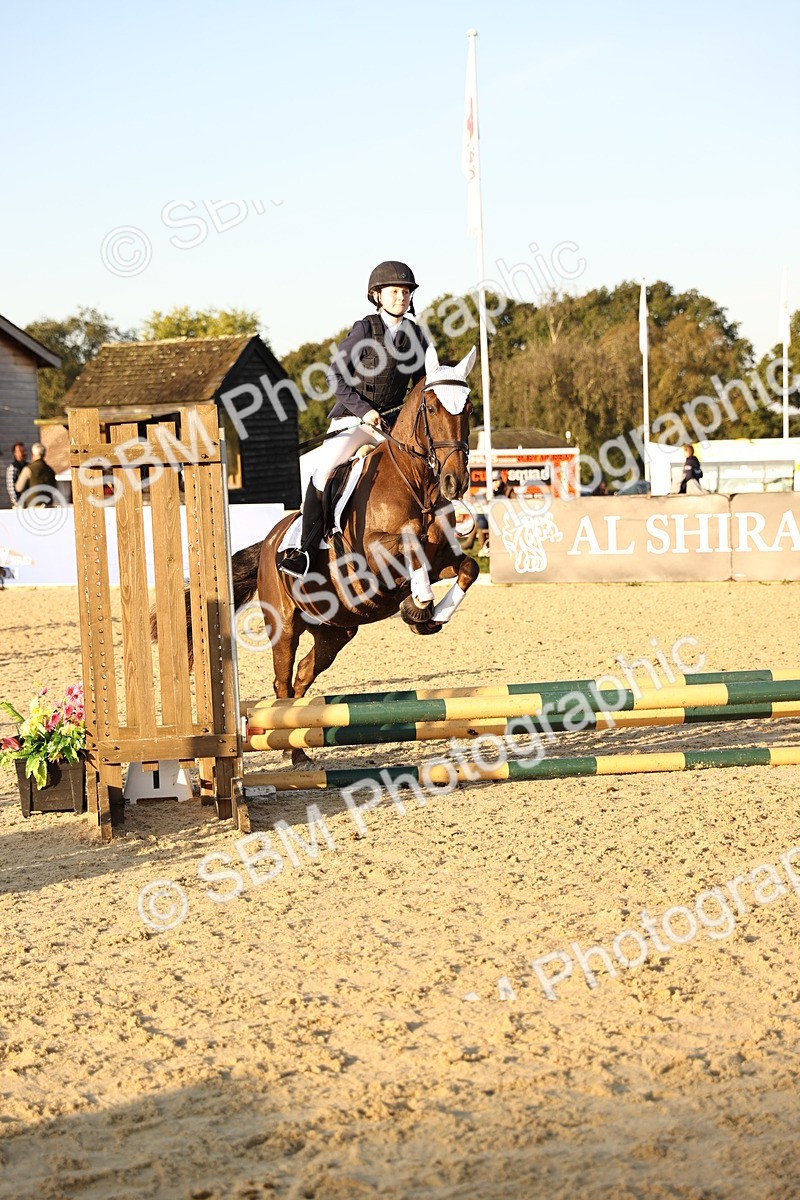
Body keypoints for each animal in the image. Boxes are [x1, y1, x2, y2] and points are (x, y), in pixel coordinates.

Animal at [230, 344, 480, 761]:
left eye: (470, 409)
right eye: (431, 408)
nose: (455, 482)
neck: (416, 485)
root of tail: (268, 542)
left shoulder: (441, 560)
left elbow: (469, 568)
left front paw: (429, 616)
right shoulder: (374, 556)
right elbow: (409, 542)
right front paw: (418, 606)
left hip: (335, 631)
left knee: (302, 677)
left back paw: (299, 747)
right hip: (283, 625)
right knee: (282, 683)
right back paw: (291, 752)